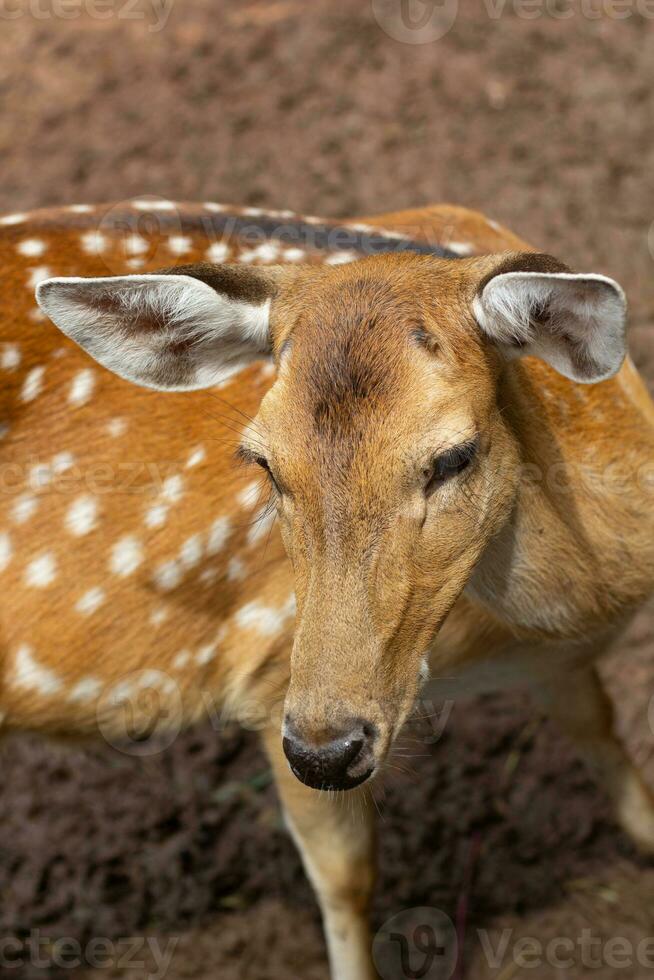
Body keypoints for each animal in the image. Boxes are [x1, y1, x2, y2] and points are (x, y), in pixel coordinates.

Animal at [0, 199, 652, 980]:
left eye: (453, 457)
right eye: (263, 463)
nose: (325, 750)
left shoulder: (558, 664)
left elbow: (607, 744)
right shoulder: (263, 673)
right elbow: (348, 878)